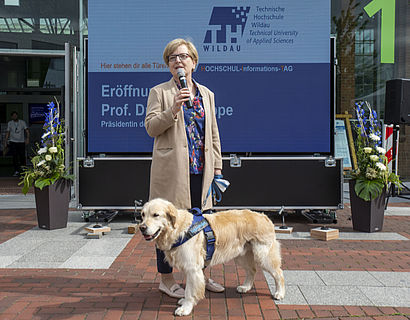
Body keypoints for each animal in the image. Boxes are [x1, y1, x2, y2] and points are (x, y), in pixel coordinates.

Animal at [139, 199, 284, 316]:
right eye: (142, 215)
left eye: (156, 215)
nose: (142, 228)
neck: (178, 230)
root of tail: (264, 216)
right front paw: (184, 302)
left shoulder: (192, 268)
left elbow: (190, 291)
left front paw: (185, 308)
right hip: (241, 254)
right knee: (252, 270)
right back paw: (245, 287)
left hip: (263, 255)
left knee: (279, 273)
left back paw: (280, 293)